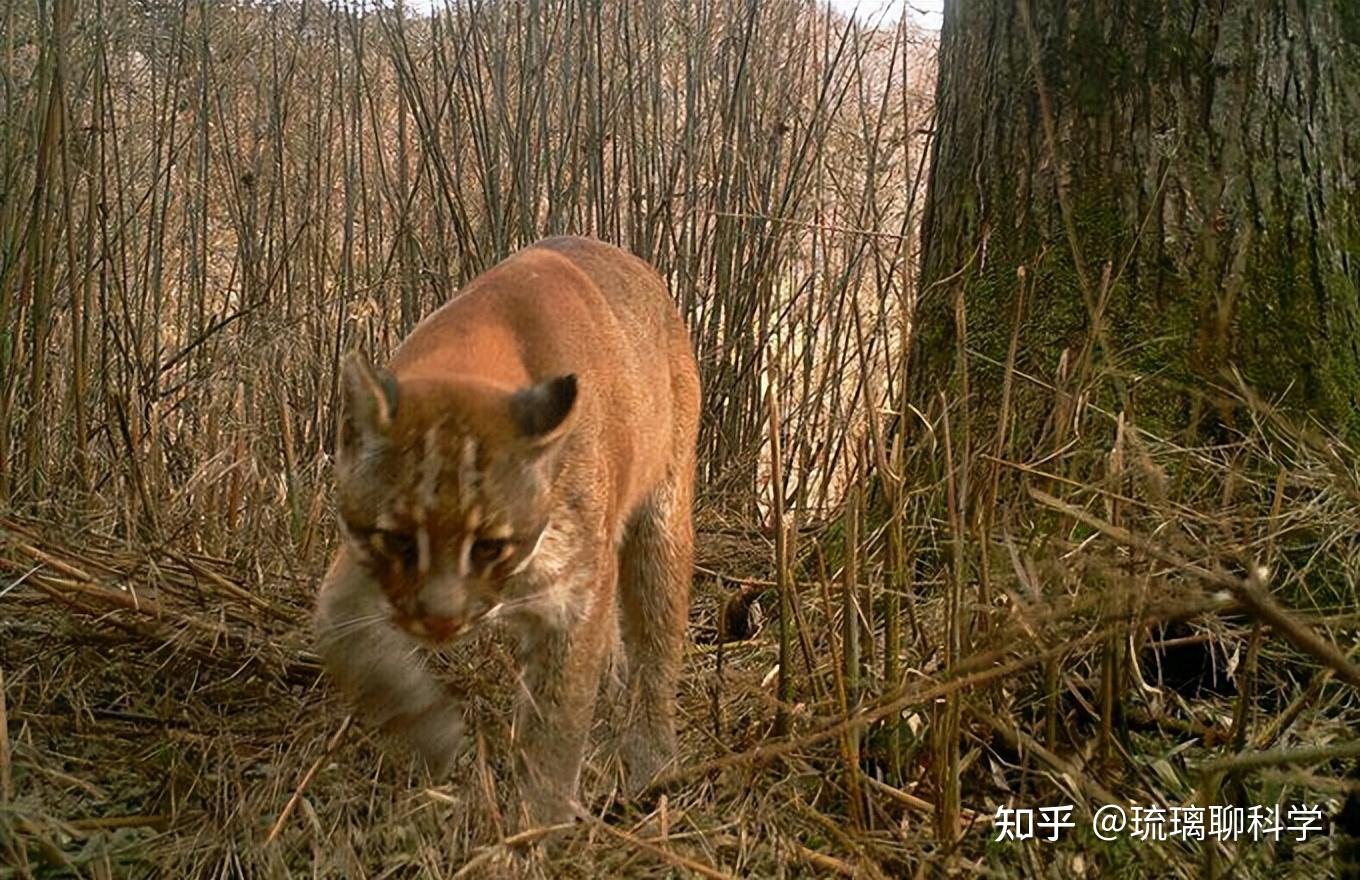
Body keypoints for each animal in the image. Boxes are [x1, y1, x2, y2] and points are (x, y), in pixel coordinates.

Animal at [311, 233, 701, 826]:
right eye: (400, 539)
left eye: (490, 546)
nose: (441, 620)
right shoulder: (353, 574)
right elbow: (348, 641)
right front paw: (436, 736)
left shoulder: (576, 592)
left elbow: (555, 724)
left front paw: (536, 828)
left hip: (662, 520)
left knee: (657, 642)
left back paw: (652, 765)